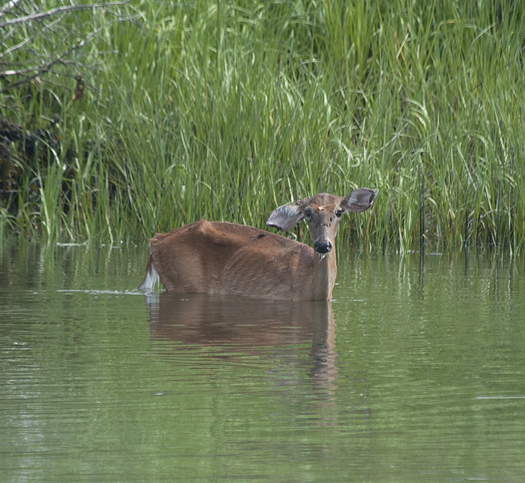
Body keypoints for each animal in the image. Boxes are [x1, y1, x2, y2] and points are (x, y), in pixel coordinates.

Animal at [137, 188, 374, 298]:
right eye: (307, 213)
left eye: (339, 211)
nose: (323, 245)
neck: (310, 289)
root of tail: (155, 242)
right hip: (183, 281)